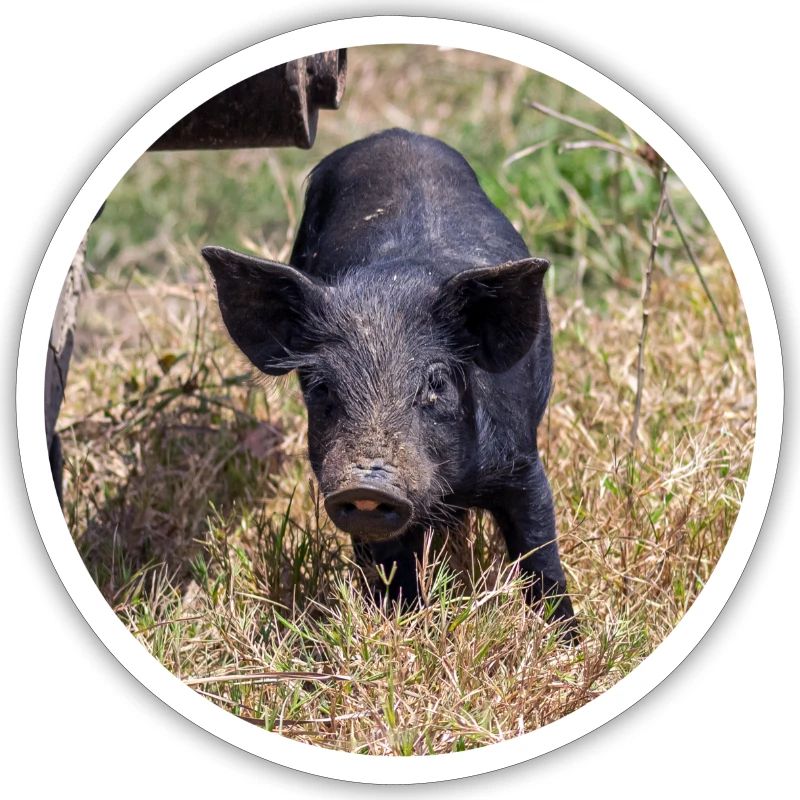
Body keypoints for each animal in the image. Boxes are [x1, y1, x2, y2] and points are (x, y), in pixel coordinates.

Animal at [203, 128, 575, 631]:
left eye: (436, 383)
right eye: (321, 386)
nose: (367, 484)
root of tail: (394, 134)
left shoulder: (521, 463)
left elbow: (541, 554)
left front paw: (568, 639)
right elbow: (393, 569)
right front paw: (404, 624)